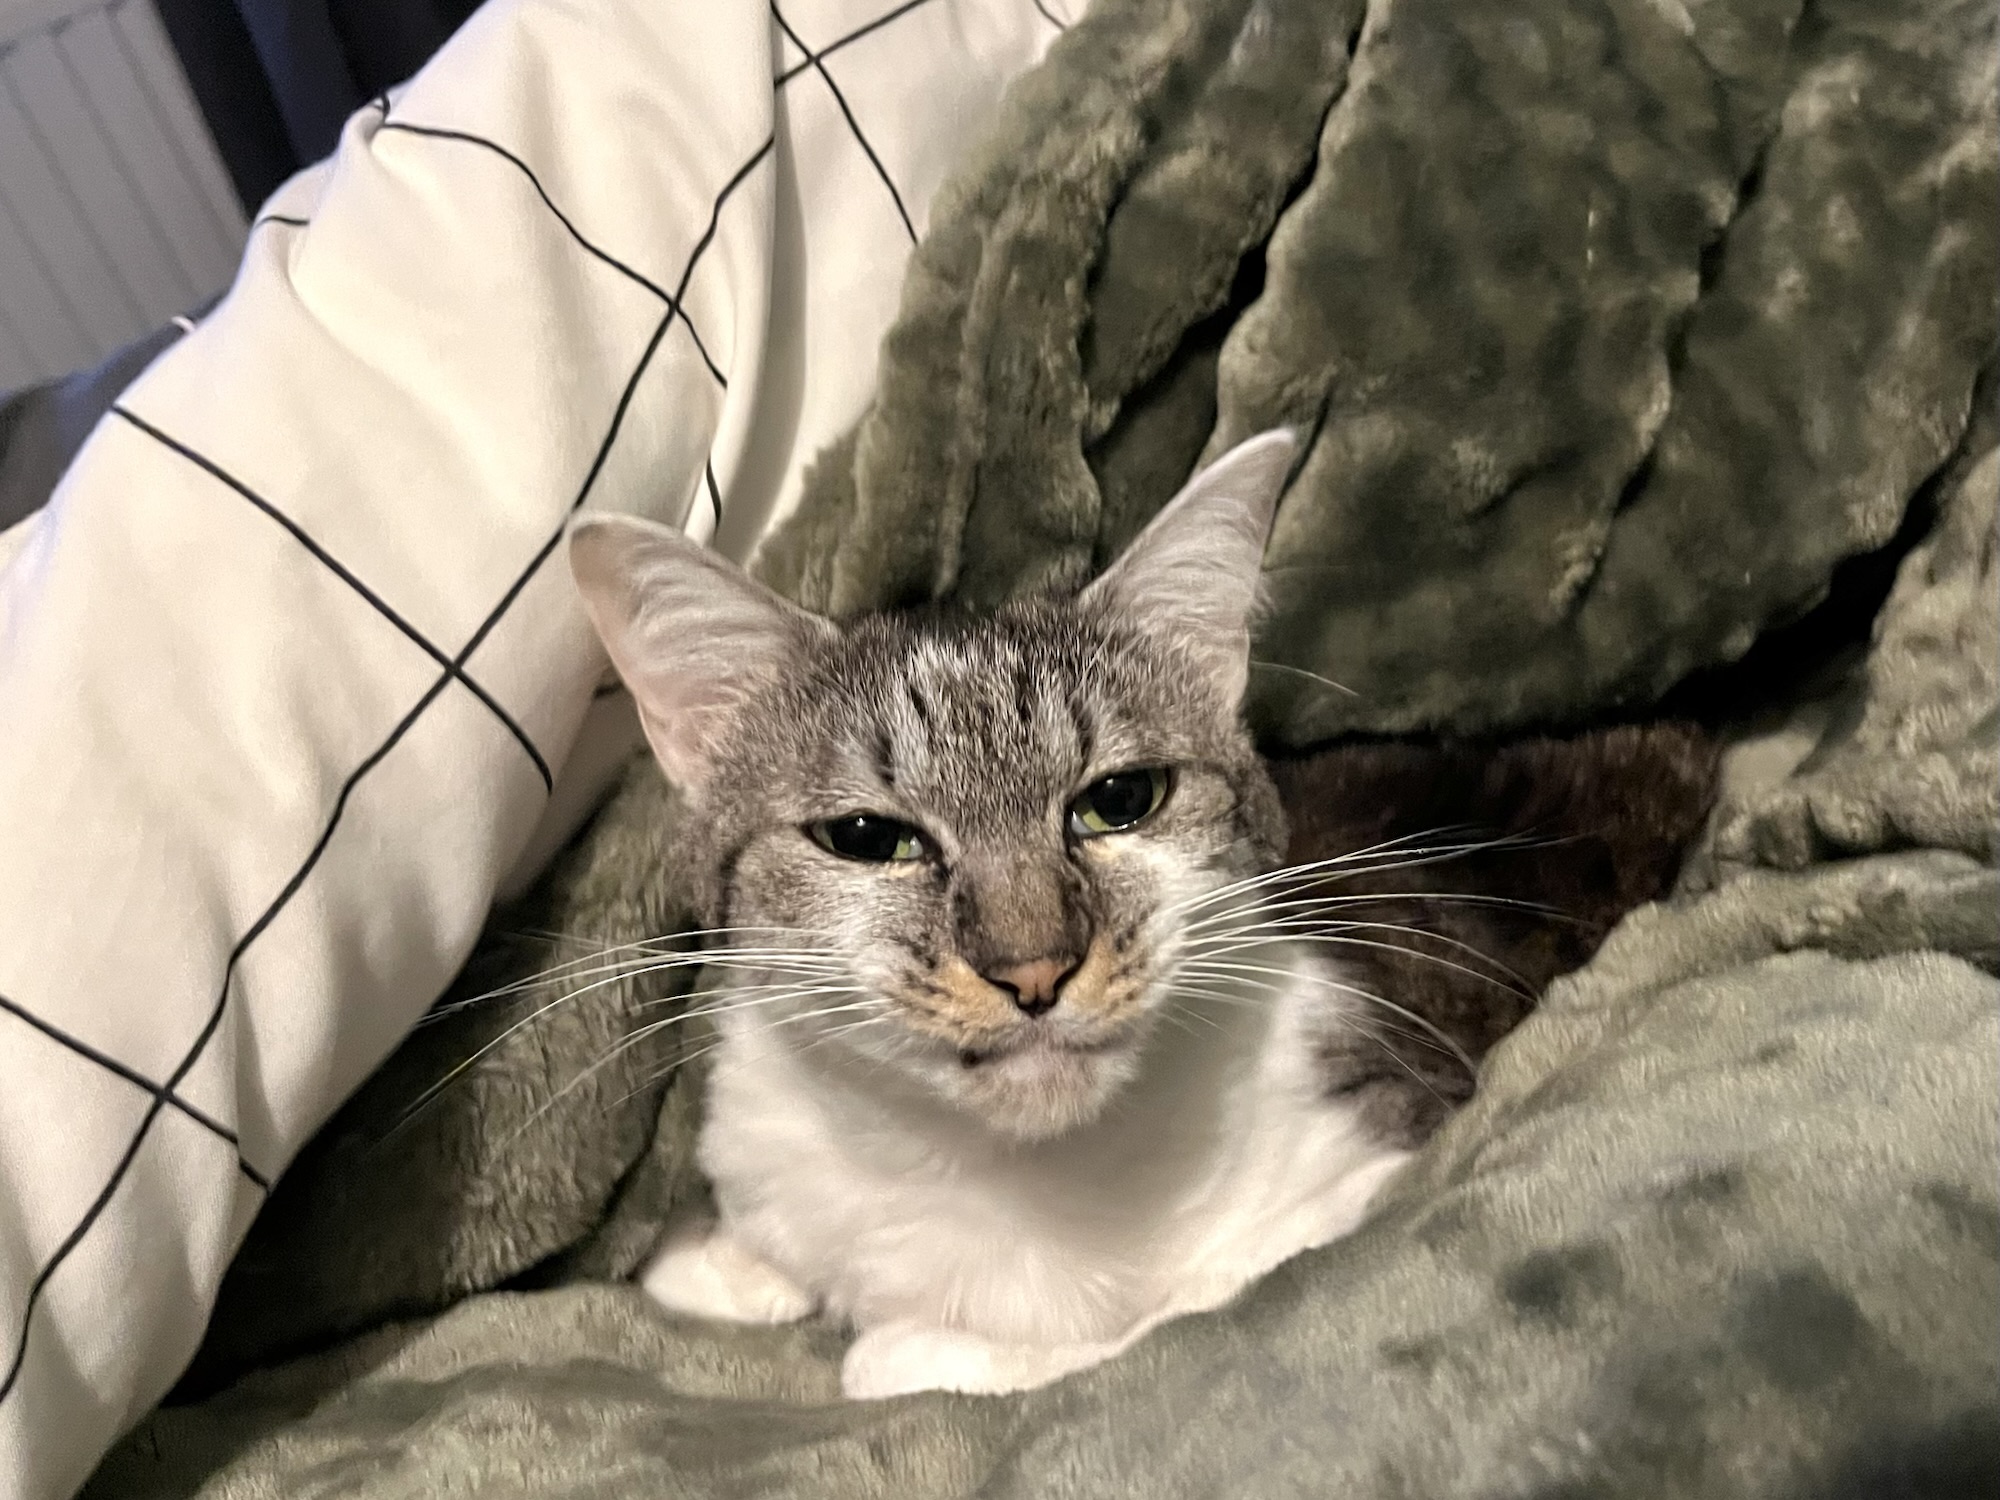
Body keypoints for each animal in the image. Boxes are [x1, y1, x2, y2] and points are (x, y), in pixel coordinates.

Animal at [567, 430, 1475, 1398]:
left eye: (1121, 800)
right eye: (867, 837)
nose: (1035, 970)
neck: (996, 1166)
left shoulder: (1373, 1155)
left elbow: (1122, 1328)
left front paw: (899, 1342)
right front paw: (719, 1262)